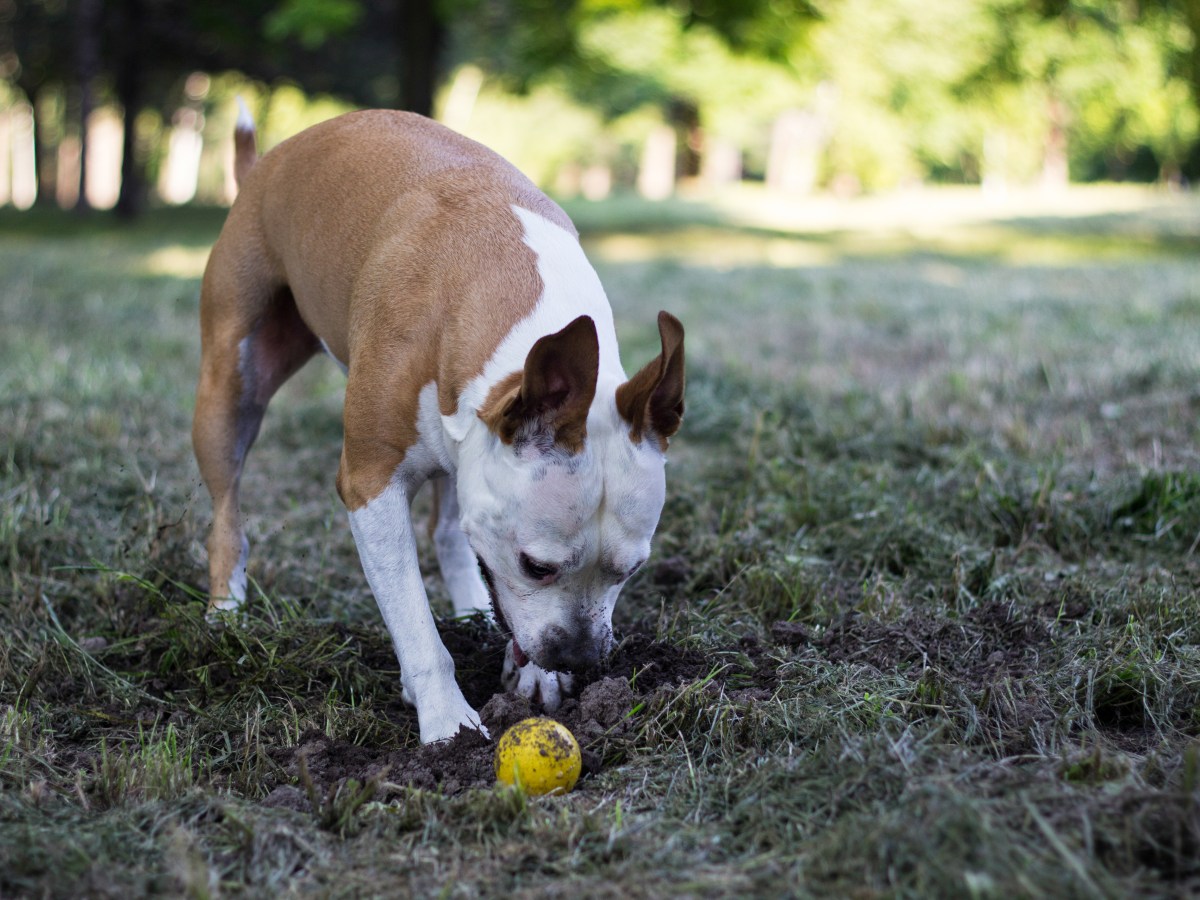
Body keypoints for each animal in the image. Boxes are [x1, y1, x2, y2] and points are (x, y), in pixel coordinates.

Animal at [194, 105, 686, 744]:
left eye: (633, 569)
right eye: (536, 565)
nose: (577, 659)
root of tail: (265, 163)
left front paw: (534, 677)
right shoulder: (370, 484)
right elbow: (413, 619)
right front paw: (447, 722)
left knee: (451, 531)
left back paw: (474, 611)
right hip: (230, 388)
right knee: (226, 505)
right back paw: (226, 610)